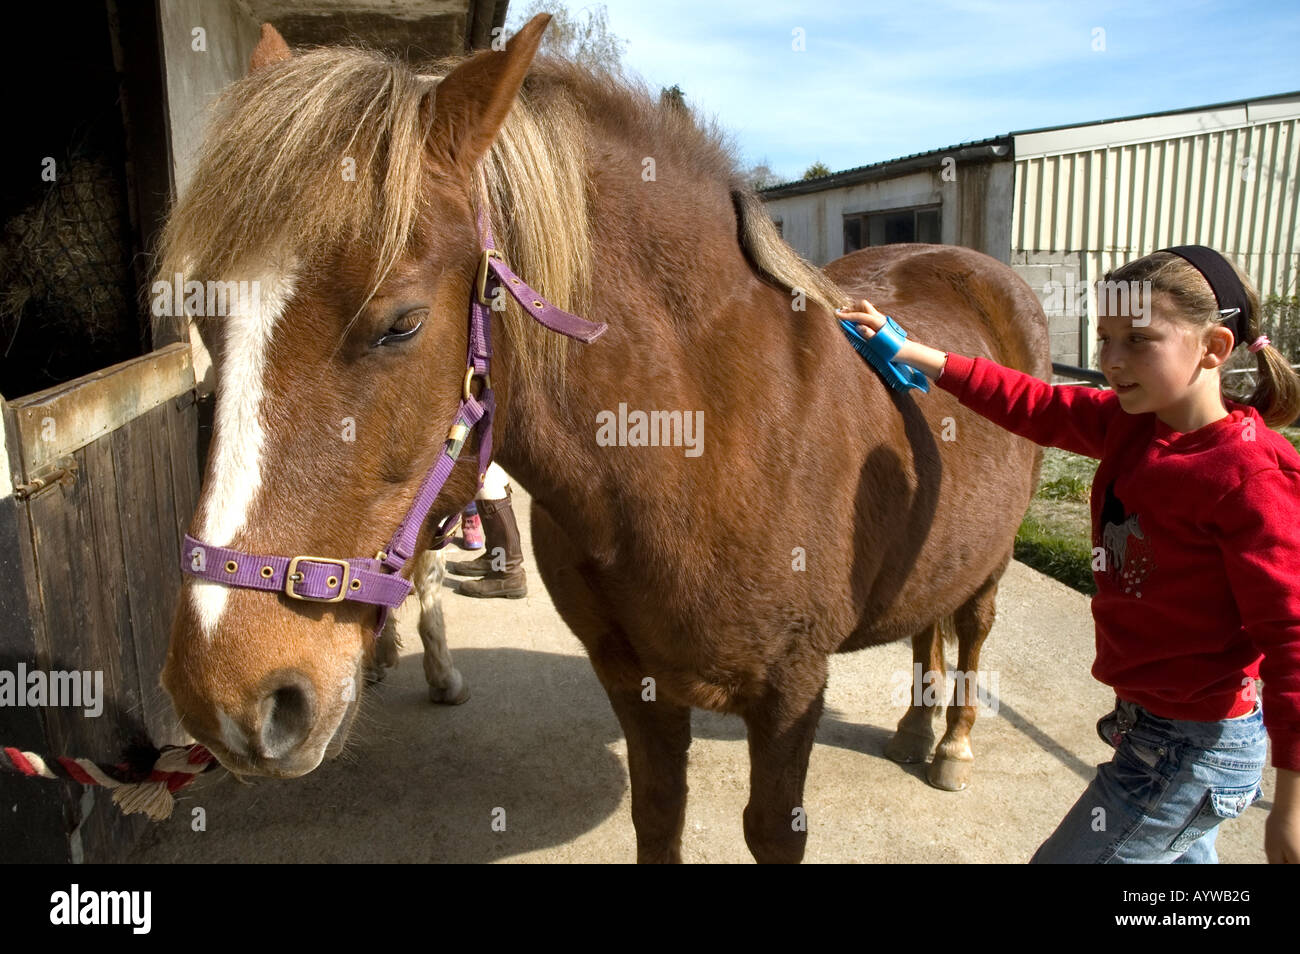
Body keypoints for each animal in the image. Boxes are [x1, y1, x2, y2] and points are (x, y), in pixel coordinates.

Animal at [161, 15, 1048, 863]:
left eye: (401, 323)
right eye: (205, 317)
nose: (226, 700)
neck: (704, 444)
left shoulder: (790, 693)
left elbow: (772, 830)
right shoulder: (631, 680)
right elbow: (658, 815)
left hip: (994, 561)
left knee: (972, 628)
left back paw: (951, 746)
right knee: (929, 621)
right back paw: (913, 726)